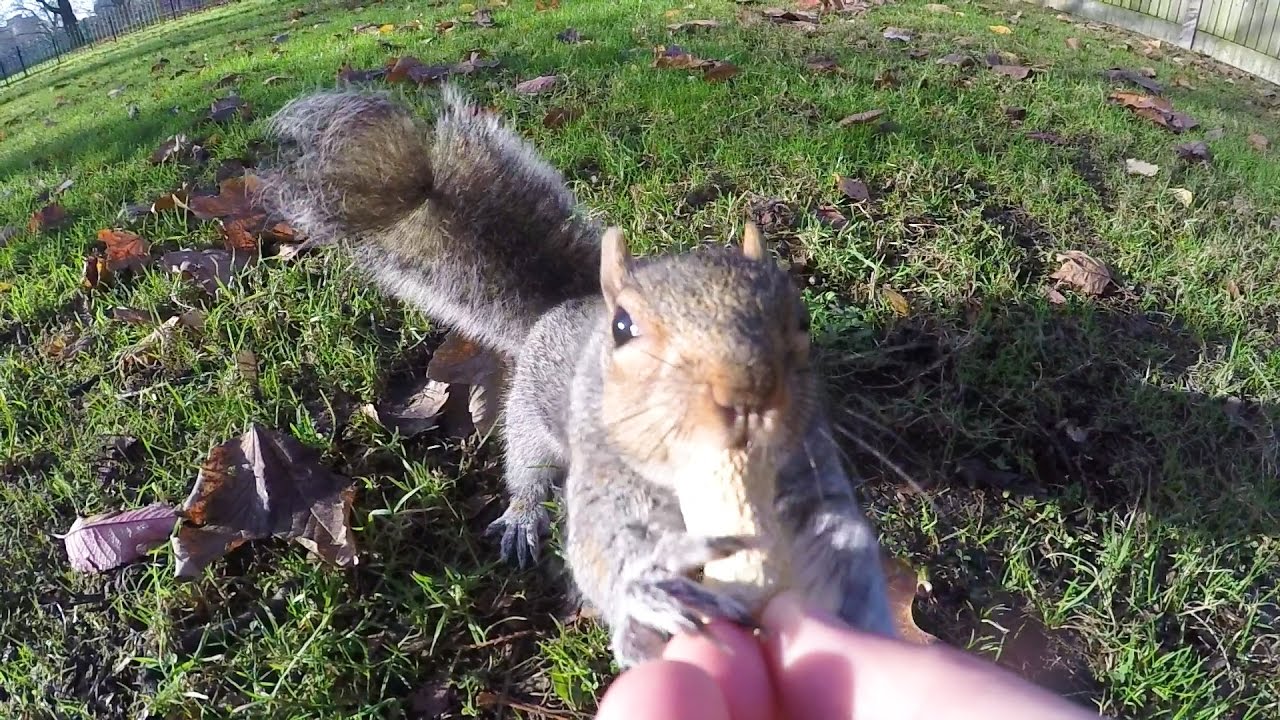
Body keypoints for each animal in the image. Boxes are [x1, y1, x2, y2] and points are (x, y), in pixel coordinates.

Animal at [260, 86, 898, 668]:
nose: (746, 394)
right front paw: (646, 590)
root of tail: (560, 307)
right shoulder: (602, 470)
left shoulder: (806, 465)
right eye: (624, 328)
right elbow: (597, 548)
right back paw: (523, 517)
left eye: (802, 318)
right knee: (526, 468)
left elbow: (838, 532)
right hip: (531, 423)